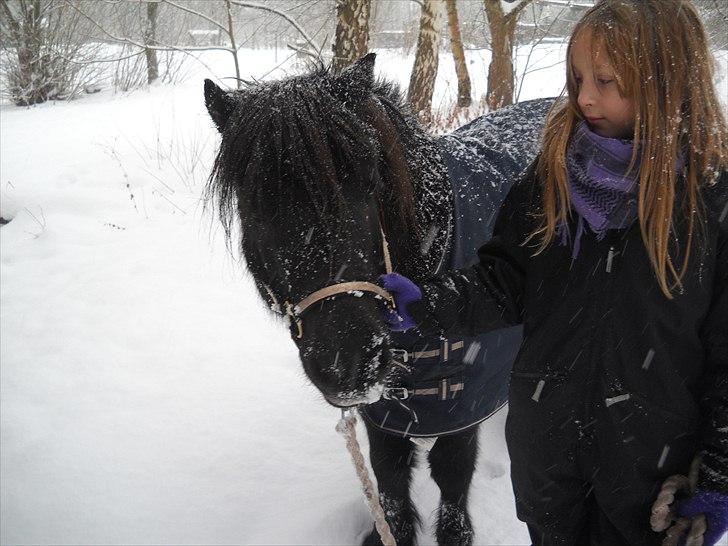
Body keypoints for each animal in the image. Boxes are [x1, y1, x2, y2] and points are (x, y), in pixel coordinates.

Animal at [205, 56, 552, 544]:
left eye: (370, 186)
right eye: (254, 208)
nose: (347, 361)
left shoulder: (464, 403)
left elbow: (452, 476)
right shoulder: (382, 410)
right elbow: (389, 478)